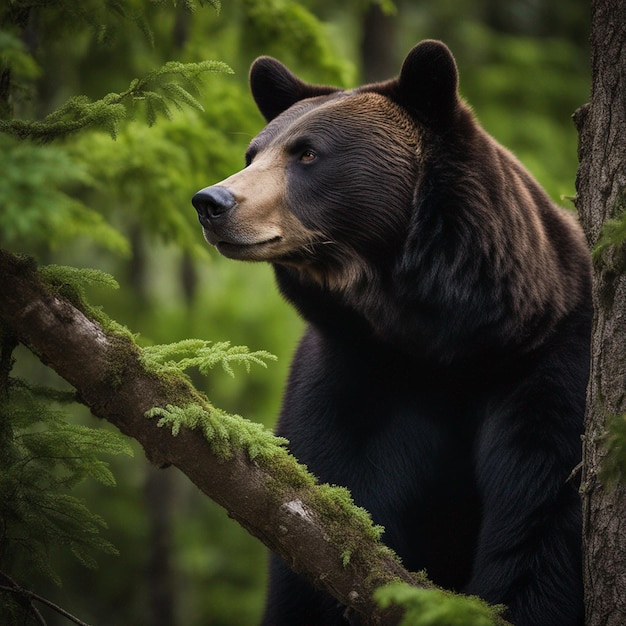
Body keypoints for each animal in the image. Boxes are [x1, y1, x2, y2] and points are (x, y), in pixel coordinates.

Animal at [191, 40, 588, 624]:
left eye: (307, 154)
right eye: (253, 153)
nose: (211, 202)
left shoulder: (546, 365)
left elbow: (544, 520)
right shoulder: (355, 377)